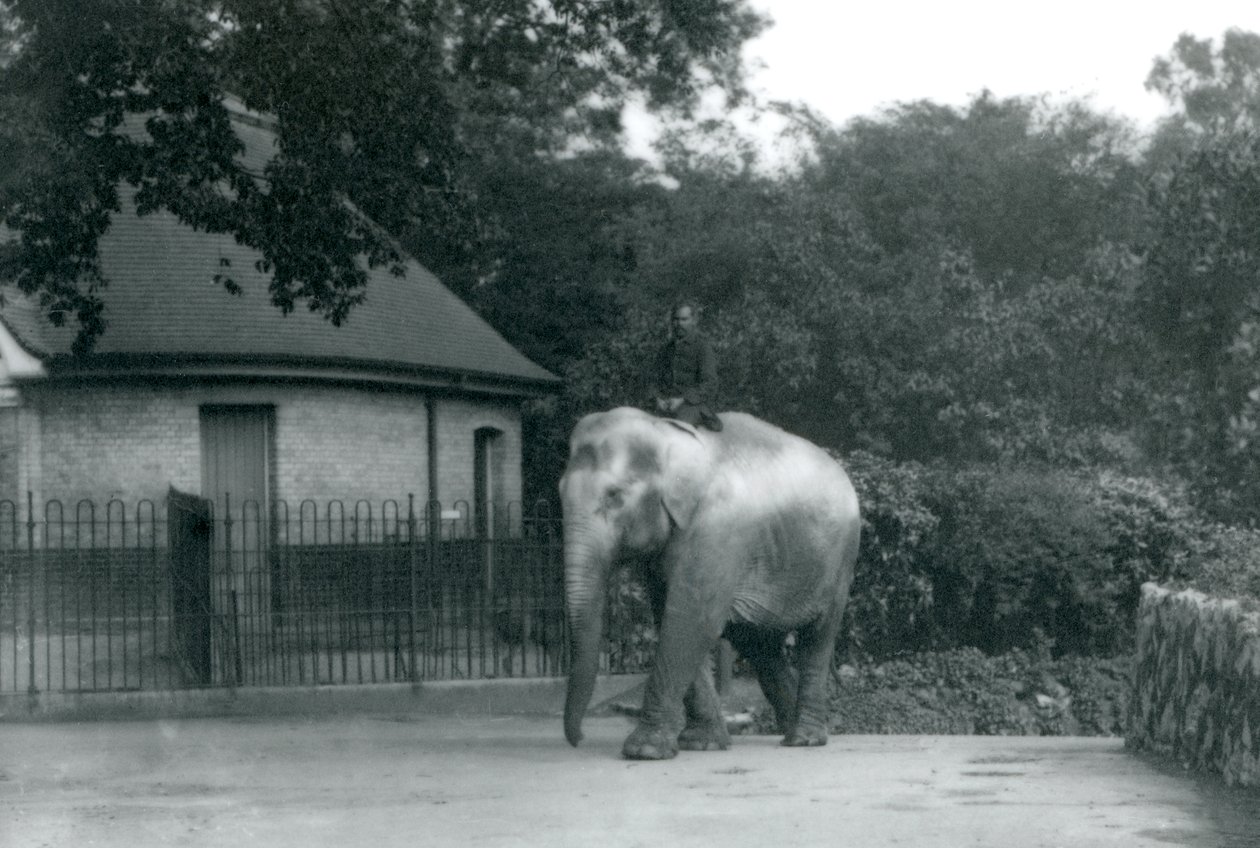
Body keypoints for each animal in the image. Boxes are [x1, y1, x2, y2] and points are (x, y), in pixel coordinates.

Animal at [559, 405, 861, 756]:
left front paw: (644, 751)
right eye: (560, 493)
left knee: (817, 637)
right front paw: (701, 744)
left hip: (840, 561)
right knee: (759, 645)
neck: (664, 431)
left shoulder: (718, 530)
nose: (578, 739)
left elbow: (690, 621)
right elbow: (672, 617)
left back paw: (805, 739)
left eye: (614, 496)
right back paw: (788, 734)